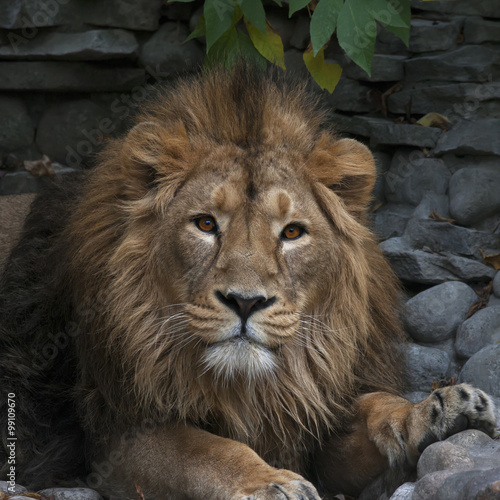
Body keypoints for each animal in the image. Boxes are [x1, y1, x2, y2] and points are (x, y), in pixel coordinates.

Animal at [0, 66, 496, 500]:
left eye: (292, 232)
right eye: (205, 224)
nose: (244, 301)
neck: (250, 389)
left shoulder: (309, 411)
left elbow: (374, 406)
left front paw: (439, 411)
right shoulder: (113, 436)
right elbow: (202, 450)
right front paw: (272, 483)